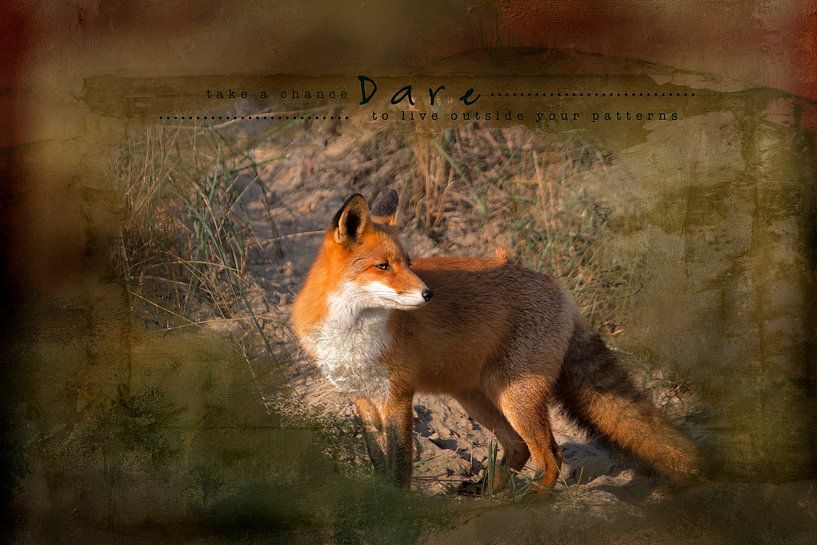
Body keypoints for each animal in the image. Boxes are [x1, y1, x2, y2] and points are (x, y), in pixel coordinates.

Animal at [291, 190, 700, 493]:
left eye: (408, 262)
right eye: (383, 266)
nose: (428, 294)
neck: (352, 334)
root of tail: (558, 288)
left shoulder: (398, 396)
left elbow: (401, 464)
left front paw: (400, 507)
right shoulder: (361, 397)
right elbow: (379, 461)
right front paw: (380, 499)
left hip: (515, 398)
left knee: (551, 456)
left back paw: (528, 501)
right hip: (477, 398)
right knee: (519, 449)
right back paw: (488, 492)